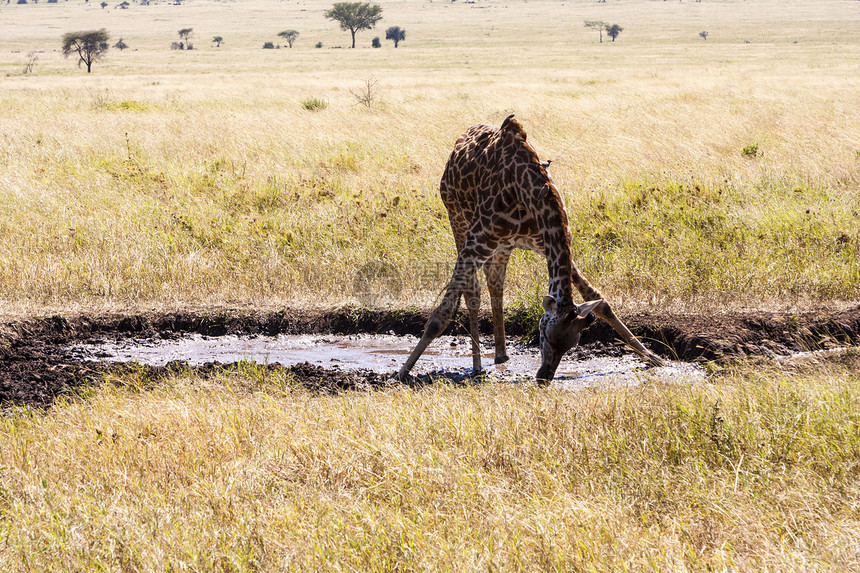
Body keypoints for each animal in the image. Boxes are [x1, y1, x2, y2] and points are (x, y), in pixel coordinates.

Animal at [396, 115, 664, 384]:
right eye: (544, 335)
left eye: (574, 344)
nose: (545, 376)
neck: (530, 192)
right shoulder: (476, 241)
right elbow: (441, 315)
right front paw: (401, 373)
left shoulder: (545, 243)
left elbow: (598, 299)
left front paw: (653, 357)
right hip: (459, 220)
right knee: (473, 290)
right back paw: (477, 365)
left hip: (501, 246)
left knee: (495, 283)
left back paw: (500, 355)